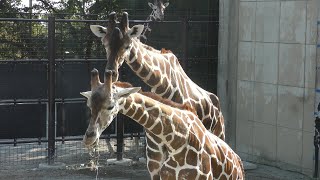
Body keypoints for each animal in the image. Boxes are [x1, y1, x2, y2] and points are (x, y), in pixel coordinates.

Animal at [81, 68, 244, 179]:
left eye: (110, 106)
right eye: (89, 104)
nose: (89, 138)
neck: (175, 141)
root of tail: (239, 163)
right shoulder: (160, 173)